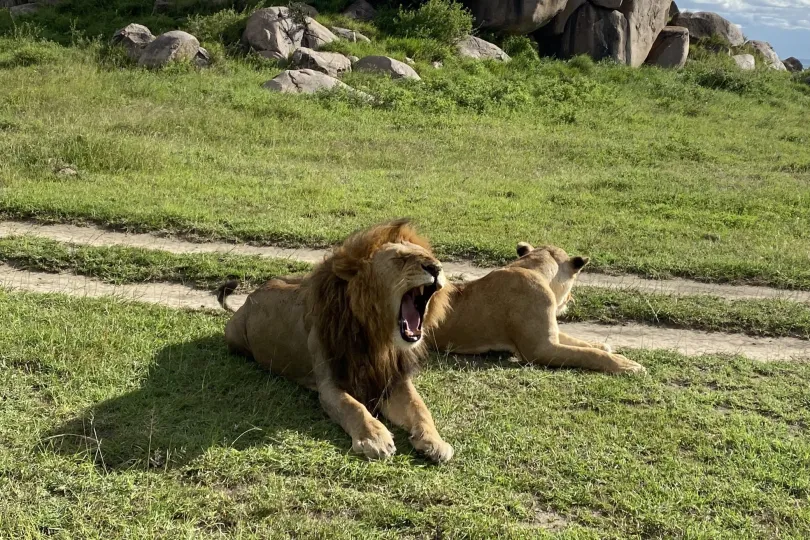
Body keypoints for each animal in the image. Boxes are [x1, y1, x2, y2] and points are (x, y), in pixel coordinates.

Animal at [215, 220, 454, 464]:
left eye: (431, 257)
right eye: (400, 259)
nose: (436, 268)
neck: (378, 338)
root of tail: (249, 298)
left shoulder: (392, 380)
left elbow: (420, 408)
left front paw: (435, 441)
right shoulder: (329, 385)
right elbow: (353, 406)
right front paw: (374, 438)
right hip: (234, 336)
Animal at [430, 243, 644, 374]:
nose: (571, 299)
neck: (532, 268)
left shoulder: (550, 334)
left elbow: (579, 343)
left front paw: (604, 346)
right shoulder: (540, 349)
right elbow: (587, 354)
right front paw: (628, 364)